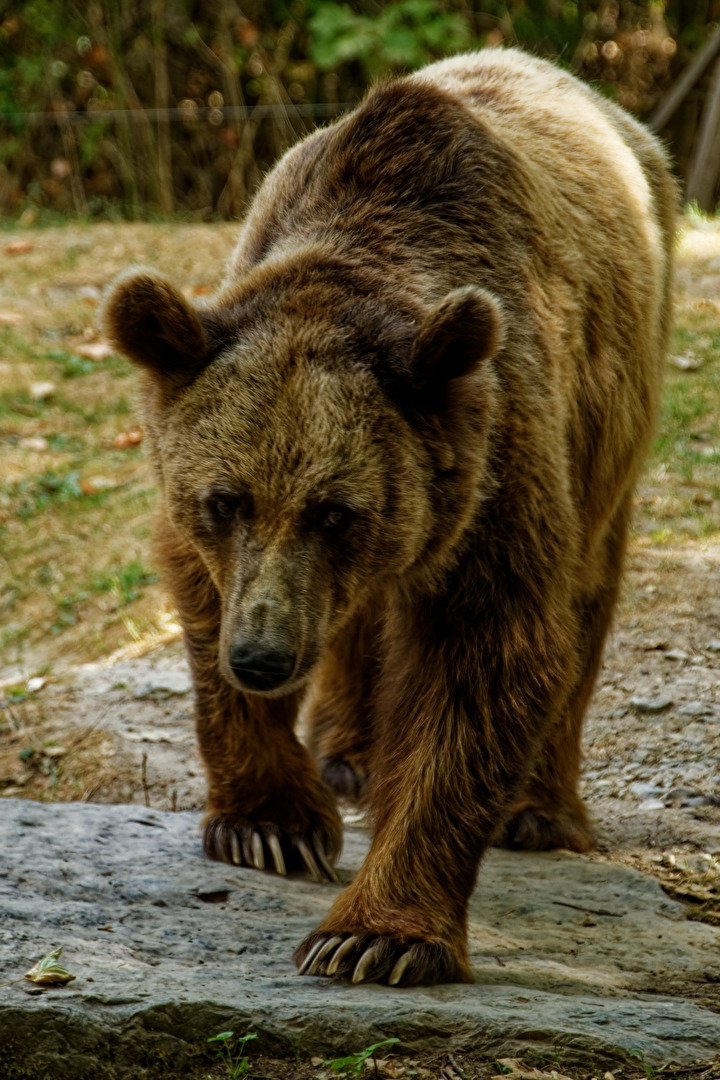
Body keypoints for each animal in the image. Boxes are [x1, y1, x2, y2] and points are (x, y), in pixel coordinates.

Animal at [104, 46, 677, 984]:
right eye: (225, 500)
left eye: (338, 513)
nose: (262, 657)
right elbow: (202, 599)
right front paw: (271, 825)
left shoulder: (493, 467)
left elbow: (483, 661)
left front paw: (375, 936)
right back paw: (346, 755)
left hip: (613, 409)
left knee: (587, 591)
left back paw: (538, 807)